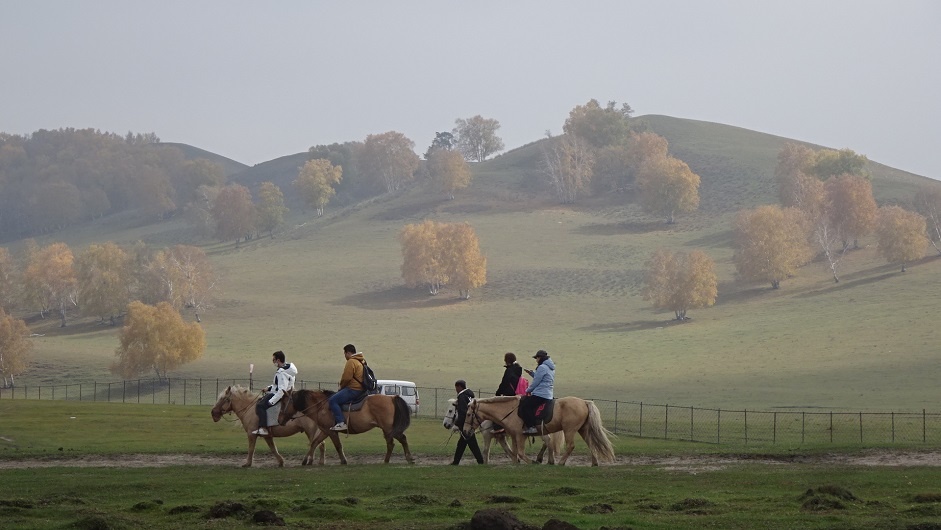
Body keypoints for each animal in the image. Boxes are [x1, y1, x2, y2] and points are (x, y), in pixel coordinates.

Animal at [276, 388, 414, 462]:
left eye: (283, 402)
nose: (279, 420)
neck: (321, 406)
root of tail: (392, 397)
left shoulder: (331, 432)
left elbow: (338, 446)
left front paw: (343, 461)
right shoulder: (325, 431)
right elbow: (314, 443)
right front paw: (305, 461)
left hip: (388, 429)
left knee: (397, 441)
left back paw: (405, 458)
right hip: (388, 429)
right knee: (395, 442)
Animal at [462, 394, 616, 464]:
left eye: (468, 414)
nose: (465, 431)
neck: (509, 411)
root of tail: (584, 402)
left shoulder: (519, 435)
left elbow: (520, 453)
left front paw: (533, 462)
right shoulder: (513, 436)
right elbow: (514, 453)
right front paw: (516, 464)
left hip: (570, 430)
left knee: (570, 446)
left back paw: (560, 462)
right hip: (582, 430)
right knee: (590, 444)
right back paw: (594, 463)